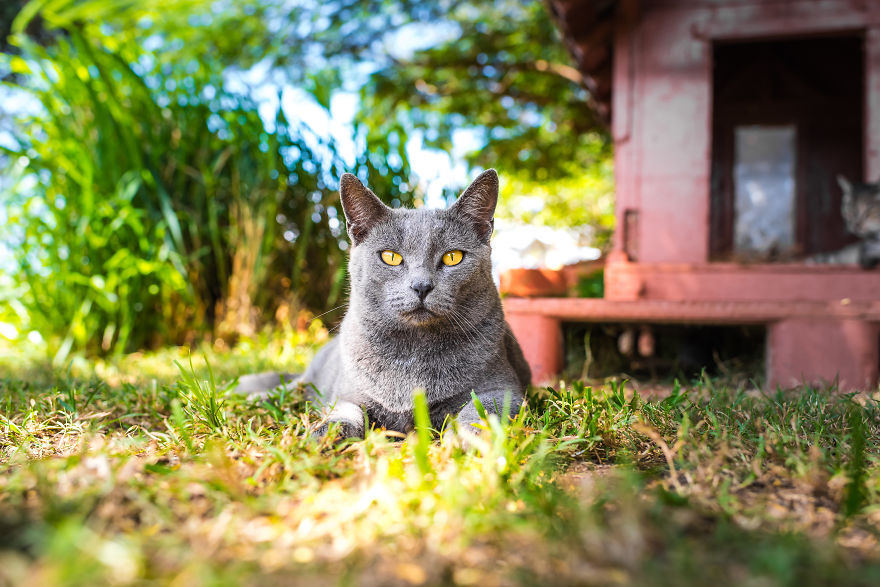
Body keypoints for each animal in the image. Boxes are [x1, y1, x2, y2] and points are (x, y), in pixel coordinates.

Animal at [234, 170, 532, 436]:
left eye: (453, 257)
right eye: (390, 257)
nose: (421, 286)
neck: (413, 353)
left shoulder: (503, 389)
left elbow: (480, 411)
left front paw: (468, 441)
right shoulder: (348, 393)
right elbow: (344, 411)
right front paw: (323, 435)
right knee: (289, 388)